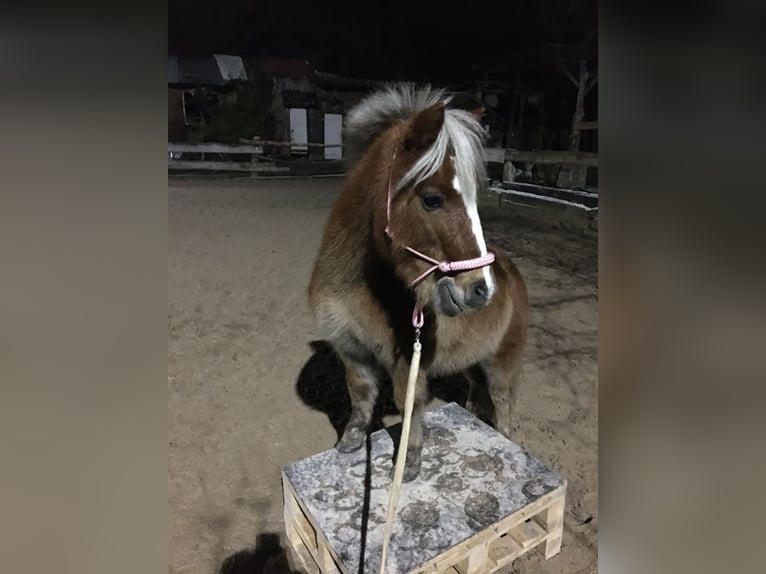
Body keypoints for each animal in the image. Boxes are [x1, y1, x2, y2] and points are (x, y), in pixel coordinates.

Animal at [306, 84, 528, 482]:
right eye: (432, 199)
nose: (480, 290)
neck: (355, 287)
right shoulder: (350, 347)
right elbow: (359, 392)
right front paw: (351, 440)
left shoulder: (407, 362)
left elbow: (408, 404)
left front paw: (408, 463)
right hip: (472, 362)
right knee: (477, 392)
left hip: (502, 362)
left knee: (503, 404)